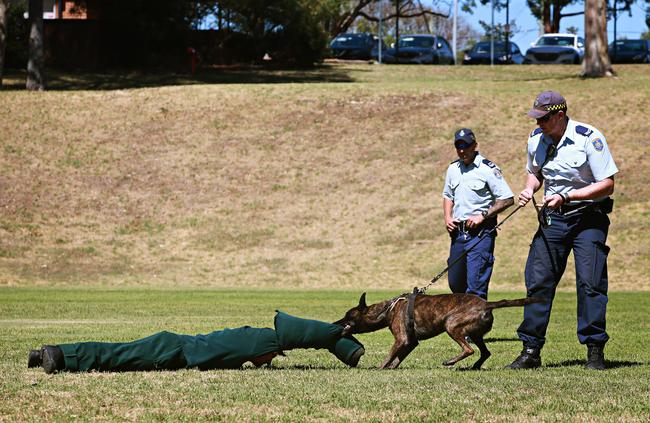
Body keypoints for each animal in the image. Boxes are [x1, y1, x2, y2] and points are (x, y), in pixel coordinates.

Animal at [334, 294, 540, 370]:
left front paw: (379, 368)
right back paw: (474, 366)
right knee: (485, 352)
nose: (335, 323)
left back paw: (451, 362)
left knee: (469, 349)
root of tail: (486, 304)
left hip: (452, 325)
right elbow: (398, 357)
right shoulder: (410, 342)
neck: (387, 310)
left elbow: (390, 355)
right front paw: (392, 368)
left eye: (347, 315)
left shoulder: (401, 339)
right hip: (475, 334)